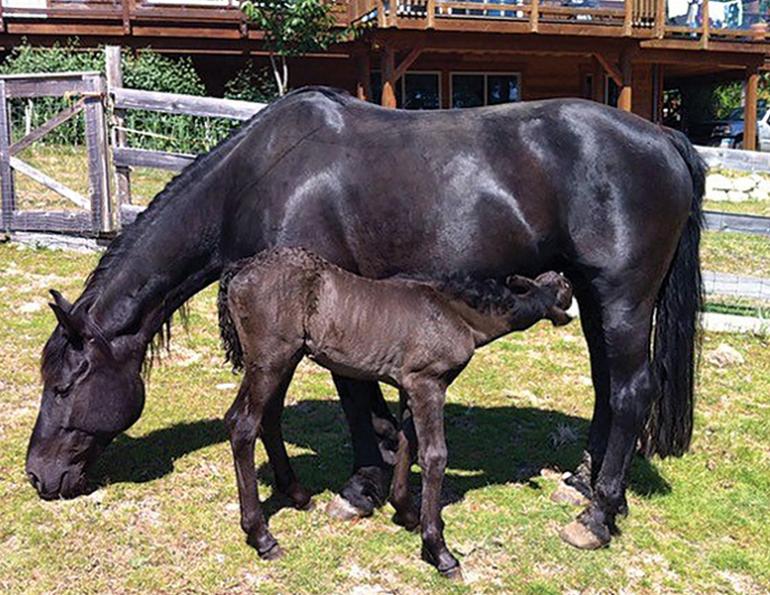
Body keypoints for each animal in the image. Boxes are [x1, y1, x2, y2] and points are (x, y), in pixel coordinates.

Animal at [216, 246, 574, 576]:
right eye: (564, 286)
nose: (569, 283)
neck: (455, 312)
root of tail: (239, 269)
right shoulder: (429, 383)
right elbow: (434, 456)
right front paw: (439, 550)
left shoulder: (410, 386)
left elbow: (406, 442)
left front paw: (406, 513)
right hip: (270, 361)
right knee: (243, 424)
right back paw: (262, 537)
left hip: (285, 361)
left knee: (266, 418)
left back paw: (298, 494)